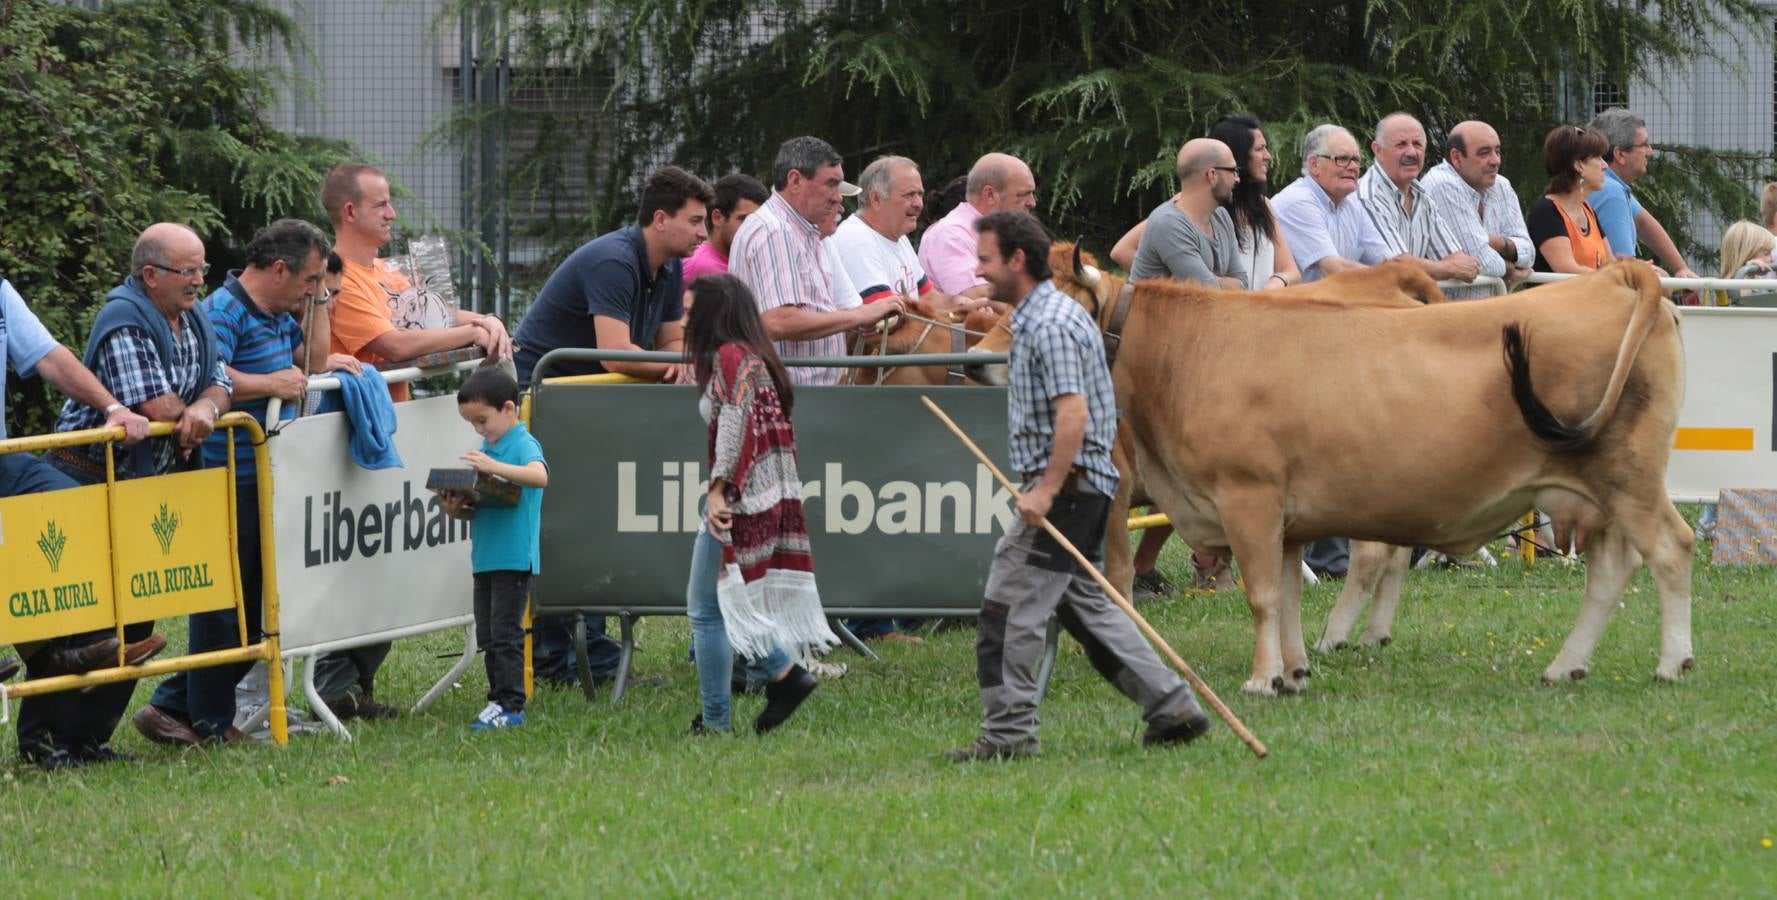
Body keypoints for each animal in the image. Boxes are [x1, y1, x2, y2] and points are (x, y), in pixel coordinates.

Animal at [1037, 245, 1691, 697]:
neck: (1189, 353)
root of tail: (1616, 277)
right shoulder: (1287, 518)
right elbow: (1290, 594)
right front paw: (1294, 672)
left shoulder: (1247, 496)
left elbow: (1260, 595)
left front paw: (1261, 679)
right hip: (1597, 494)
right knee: (1611, 571)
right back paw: (1564, 666)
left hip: (1629, 480)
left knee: (1671, 549)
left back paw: (1671, 663)